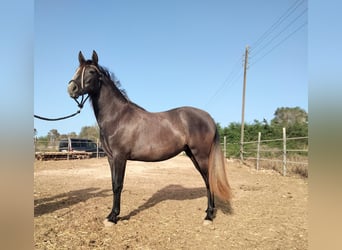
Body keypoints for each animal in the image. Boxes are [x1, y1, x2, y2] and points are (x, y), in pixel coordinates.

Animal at [67, 49, 232, 224]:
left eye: (91, 71)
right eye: (77, 70)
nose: (71, 88)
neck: (117, 116)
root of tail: (209, 118)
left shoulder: (120, 157)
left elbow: (118, 185)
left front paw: (113, 217)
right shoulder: (111, 158)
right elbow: (113, 184)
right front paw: (111, 215)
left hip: (201, 155)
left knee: (209, 180)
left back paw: (208, 216)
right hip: (192, 155)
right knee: (207, 181)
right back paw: (208, 212)